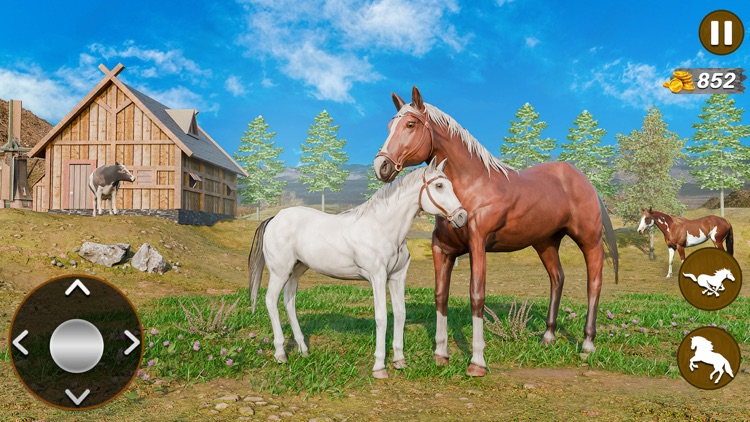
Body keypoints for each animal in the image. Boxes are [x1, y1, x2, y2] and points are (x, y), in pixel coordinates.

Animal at [248, 158, 467, 379]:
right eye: (439, 186)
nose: (462, 217)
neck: (383, 228)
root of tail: (274, 219)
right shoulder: (377, 277)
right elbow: (381, 317)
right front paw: (379, 367)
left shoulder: (397, 278)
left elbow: (400, 314)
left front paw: (399, 360)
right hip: (280, 272)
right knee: (271, 301)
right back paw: (280, 354)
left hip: (296, 271)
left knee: (289, 302)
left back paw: (303, 350)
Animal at [373, 87, 619, 377]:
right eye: (390, 125)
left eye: (410, 124)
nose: (381, 167)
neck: (472, 186)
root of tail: (584, 181)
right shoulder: (443, 250)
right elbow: (440, 296)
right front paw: (441, 354)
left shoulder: (478, 246)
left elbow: (477, 296)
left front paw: (477, 362)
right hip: (545, 243)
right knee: (557, 279)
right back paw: (548, 337)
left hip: (589, 240)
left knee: (594, 282)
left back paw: (588, 344)